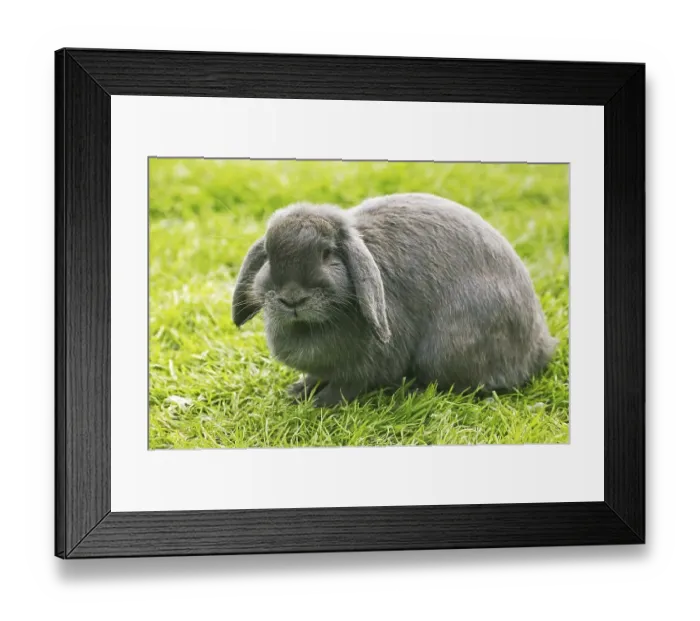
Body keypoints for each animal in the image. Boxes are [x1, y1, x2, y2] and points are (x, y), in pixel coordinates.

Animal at [232, 193, 558, 407]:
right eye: (269, 256)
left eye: (327, 254)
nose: (292, 299)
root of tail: (540, 346)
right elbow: (316, 376)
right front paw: (299, 390)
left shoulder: (370, 363)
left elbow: (347, 385)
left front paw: (322, 403)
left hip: (446, 349)